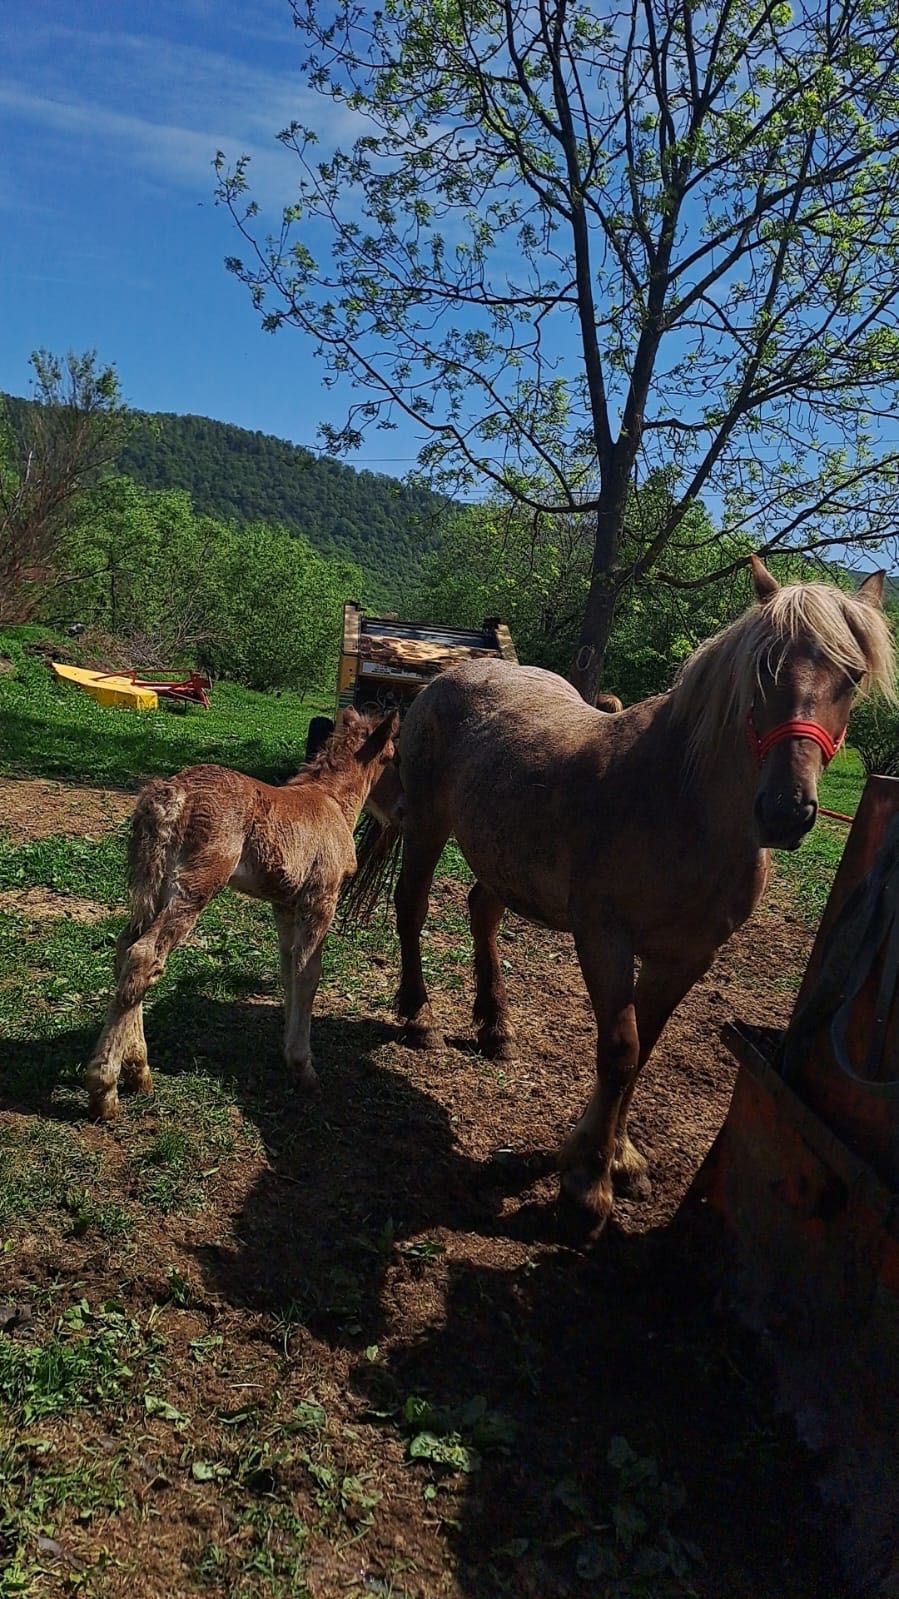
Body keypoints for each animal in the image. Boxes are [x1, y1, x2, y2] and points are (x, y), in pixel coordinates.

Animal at [385, 562, 889, 1234]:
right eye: (762, 668)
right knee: (412, 905)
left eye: (852, 676)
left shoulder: (688, 957)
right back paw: (419, 1017)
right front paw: (586, 1184)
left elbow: (643, 1052)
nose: (786, 811)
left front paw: (619, 1159)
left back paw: (496, 1028)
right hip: (427, 822)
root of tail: (453, 674)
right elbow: (620, 1051)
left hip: (500, 854)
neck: (683, 808)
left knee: (482, 911)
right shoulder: (605, 938)